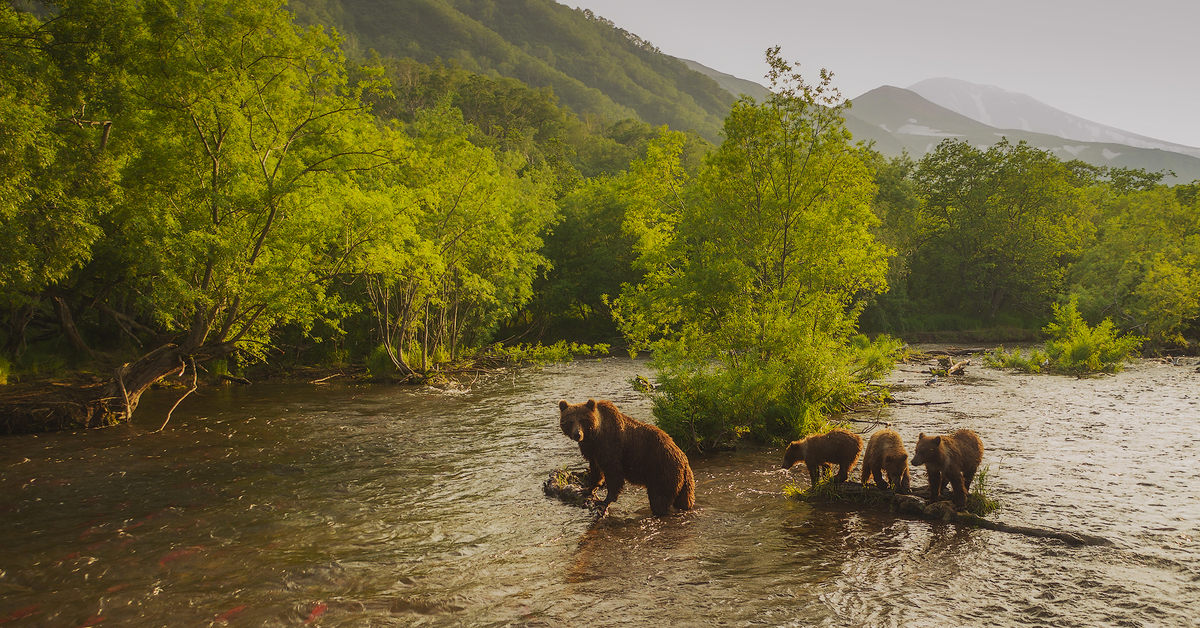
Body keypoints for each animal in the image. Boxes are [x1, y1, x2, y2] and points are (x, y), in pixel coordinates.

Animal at [559, 401, 700, 518]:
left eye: (583, 420)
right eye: (570, 421)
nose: (577, 434)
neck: (594, 437)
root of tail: (684, 461)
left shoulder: (610, 447)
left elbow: (614, 474)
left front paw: (604, 501)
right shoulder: (593, 452)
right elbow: (596, 471)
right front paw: (586, 489)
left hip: (662, 471)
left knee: (659, 499)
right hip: (685, 482)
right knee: (684, 500)